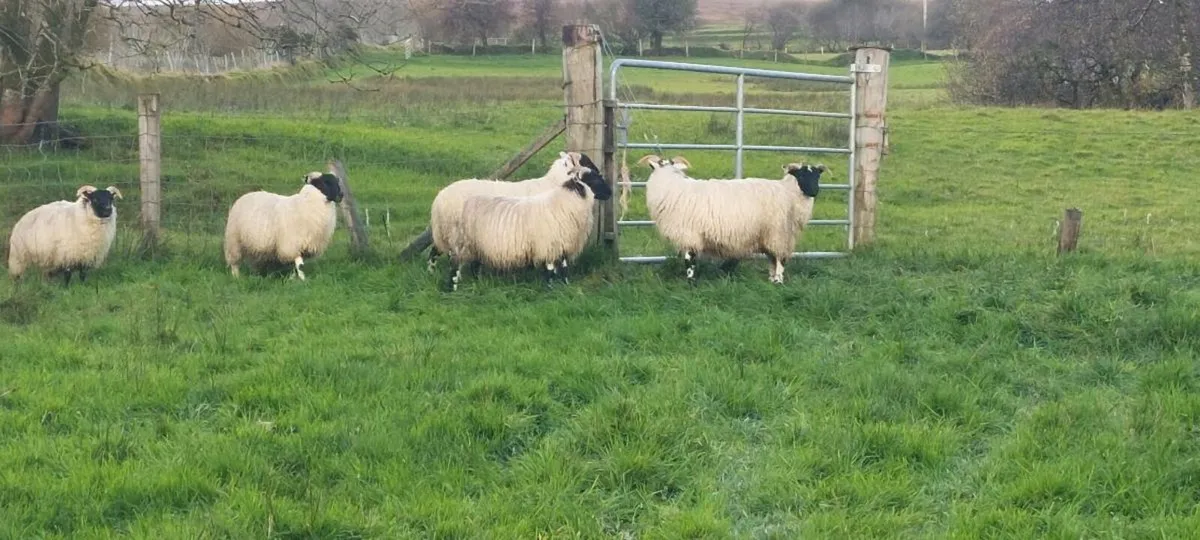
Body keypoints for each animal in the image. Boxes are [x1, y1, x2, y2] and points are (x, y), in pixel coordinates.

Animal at [427, 151, 604, 272]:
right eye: (585, 160)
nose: (600, 172)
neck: (554, 184)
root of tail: (440, 198)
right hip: (453, 232)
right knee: (437, 251)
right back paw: (431, 271)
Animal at [446, 160, 613, 291]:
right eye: (593, 179)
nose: (610, 193)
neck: (565, 201)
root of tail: (468, 203)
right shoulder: (548, 244)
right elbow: (550, 269)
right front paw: (550, 288)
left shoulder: (564, 243)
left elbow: (564, 267)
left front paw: (565, 285)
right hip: (464, 243)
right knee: (455, 266)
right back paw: (452, 288)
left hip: (478, 245)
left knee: (475, 265)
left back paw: (478, 282)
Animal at [639, 154, 827, 285]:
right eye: (801, 175)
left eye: (817, 176)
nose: (814, 191)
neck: (671, 185)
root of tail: (785, 190)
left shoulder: (689, 235)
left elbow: (689, 262)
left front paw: (691, 283)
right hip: (769, 234)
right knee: (773, 258)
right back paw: (772, 280)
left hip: (778, 232)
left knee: (779, 258)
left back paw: (778, 282)